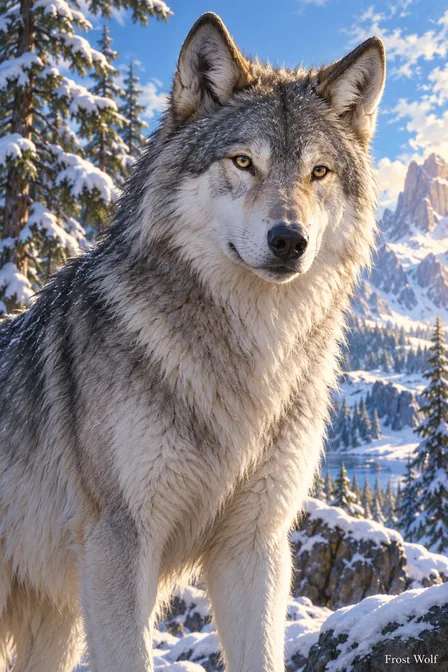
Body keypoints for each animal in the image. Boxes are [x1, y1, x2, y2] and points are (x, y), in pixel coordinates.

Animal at [0, 12, 385, 672]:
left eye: (318, 172)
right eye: (243, 162)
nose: (290, 241)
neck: (247, 357)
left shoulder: (253, 546)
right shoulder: (118, 542)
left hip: (57, 625)